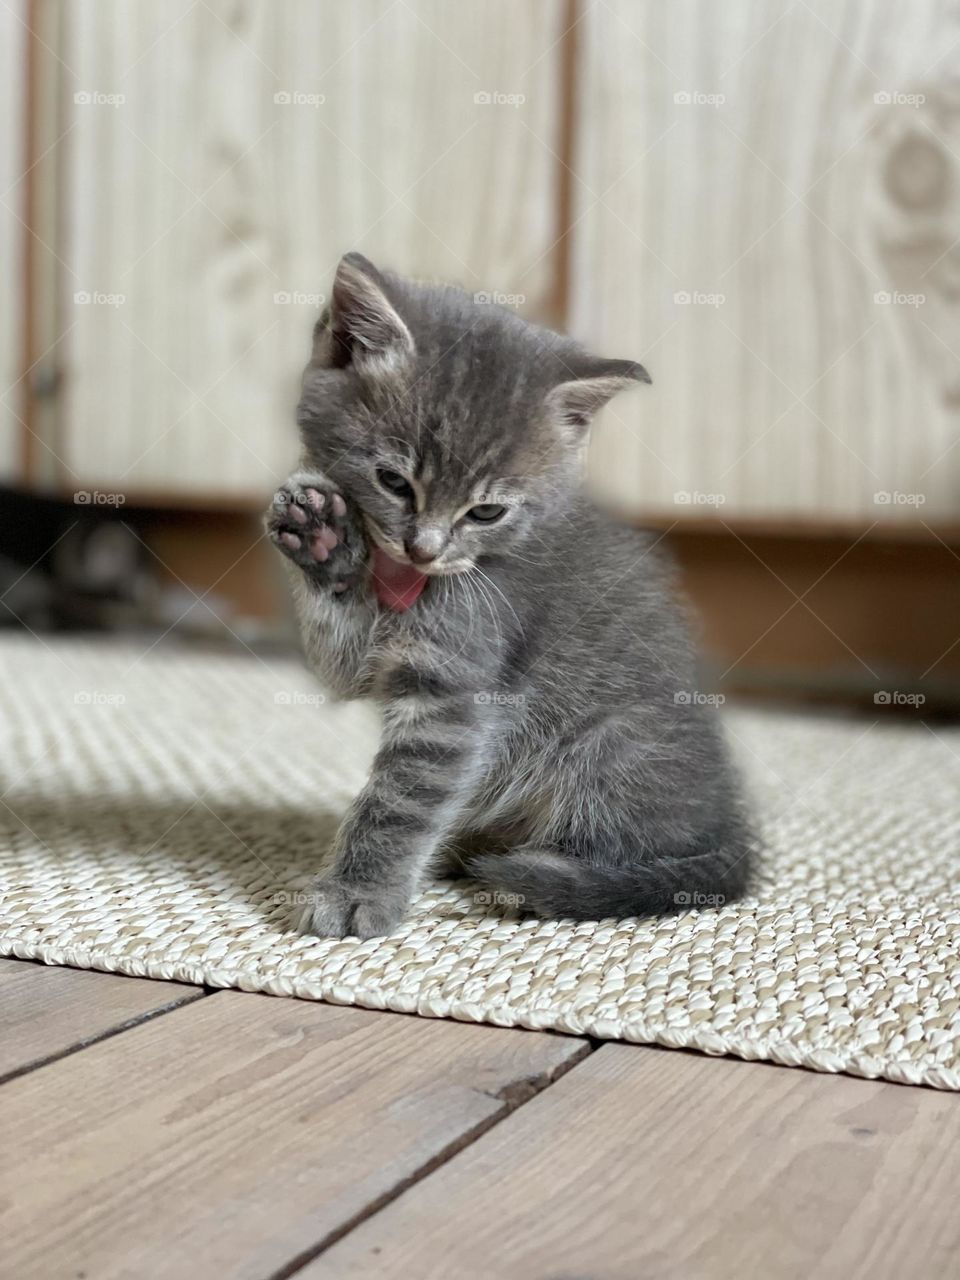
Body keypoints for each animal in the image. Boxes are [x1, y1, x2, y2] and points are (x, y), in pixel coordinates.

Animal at [267, 252, 757, 942]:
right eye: (393, 481)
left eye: (486, 511)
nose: (425, 548)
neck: (407, 581)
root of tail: (732, 829)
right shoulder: (362, 661)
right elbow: (341, 648)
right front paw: (324, 540)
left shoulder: (457, 690)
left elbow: (399, 800)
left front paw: (358, 891)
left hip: (607, 747)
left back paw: (536, 879)